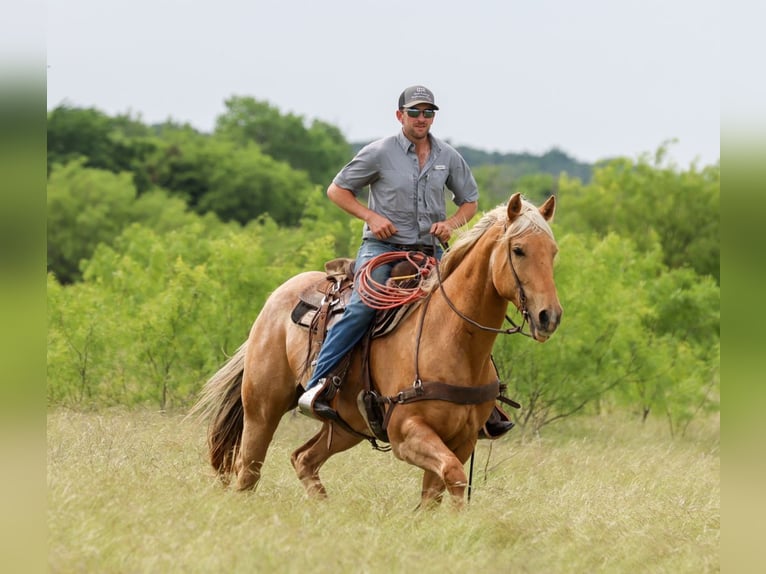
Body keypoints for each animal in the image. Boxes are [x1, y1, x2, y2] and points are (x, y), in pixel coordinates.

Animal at [192, 192, 562, 508]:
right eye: (518, 249)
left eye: (553, 251)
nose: (550, 316)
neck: (453, 340)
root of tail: (276, 297)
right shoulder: (406, 433)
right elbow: (453, 476)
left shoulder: (462, 439)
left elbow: (438, 491)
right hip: (262, 410)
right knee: (248, 471)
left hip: (345, 426)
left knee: (303, 459)